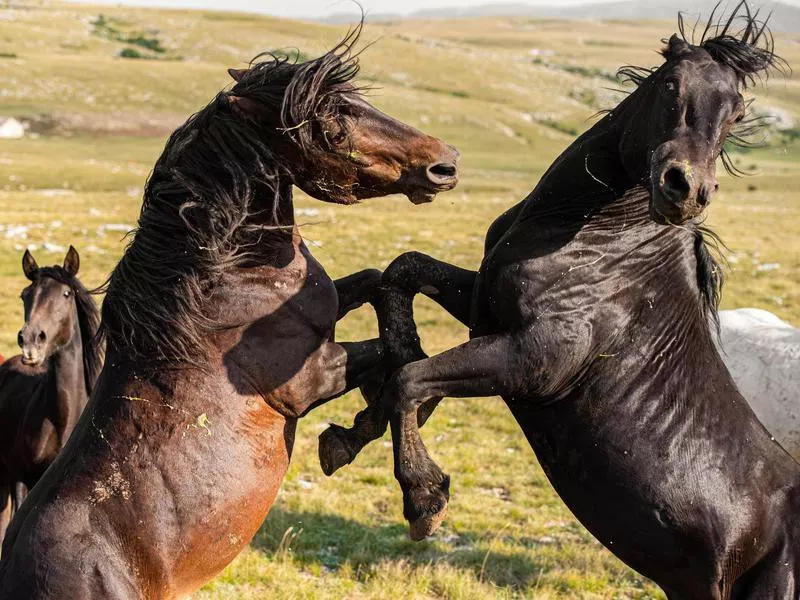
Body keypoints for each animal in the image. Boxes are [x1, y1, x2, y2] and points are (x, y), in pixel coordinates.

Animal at [322, 3, 800, 596]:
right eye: (672, 84)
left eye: (736, 113)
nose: (685, 189)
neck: (596, 241)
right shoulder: (484, 308)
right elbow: (401, 277)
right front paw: (355, 429)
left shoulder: (539, 360)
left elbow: (412, 380)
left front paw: (424, 497)